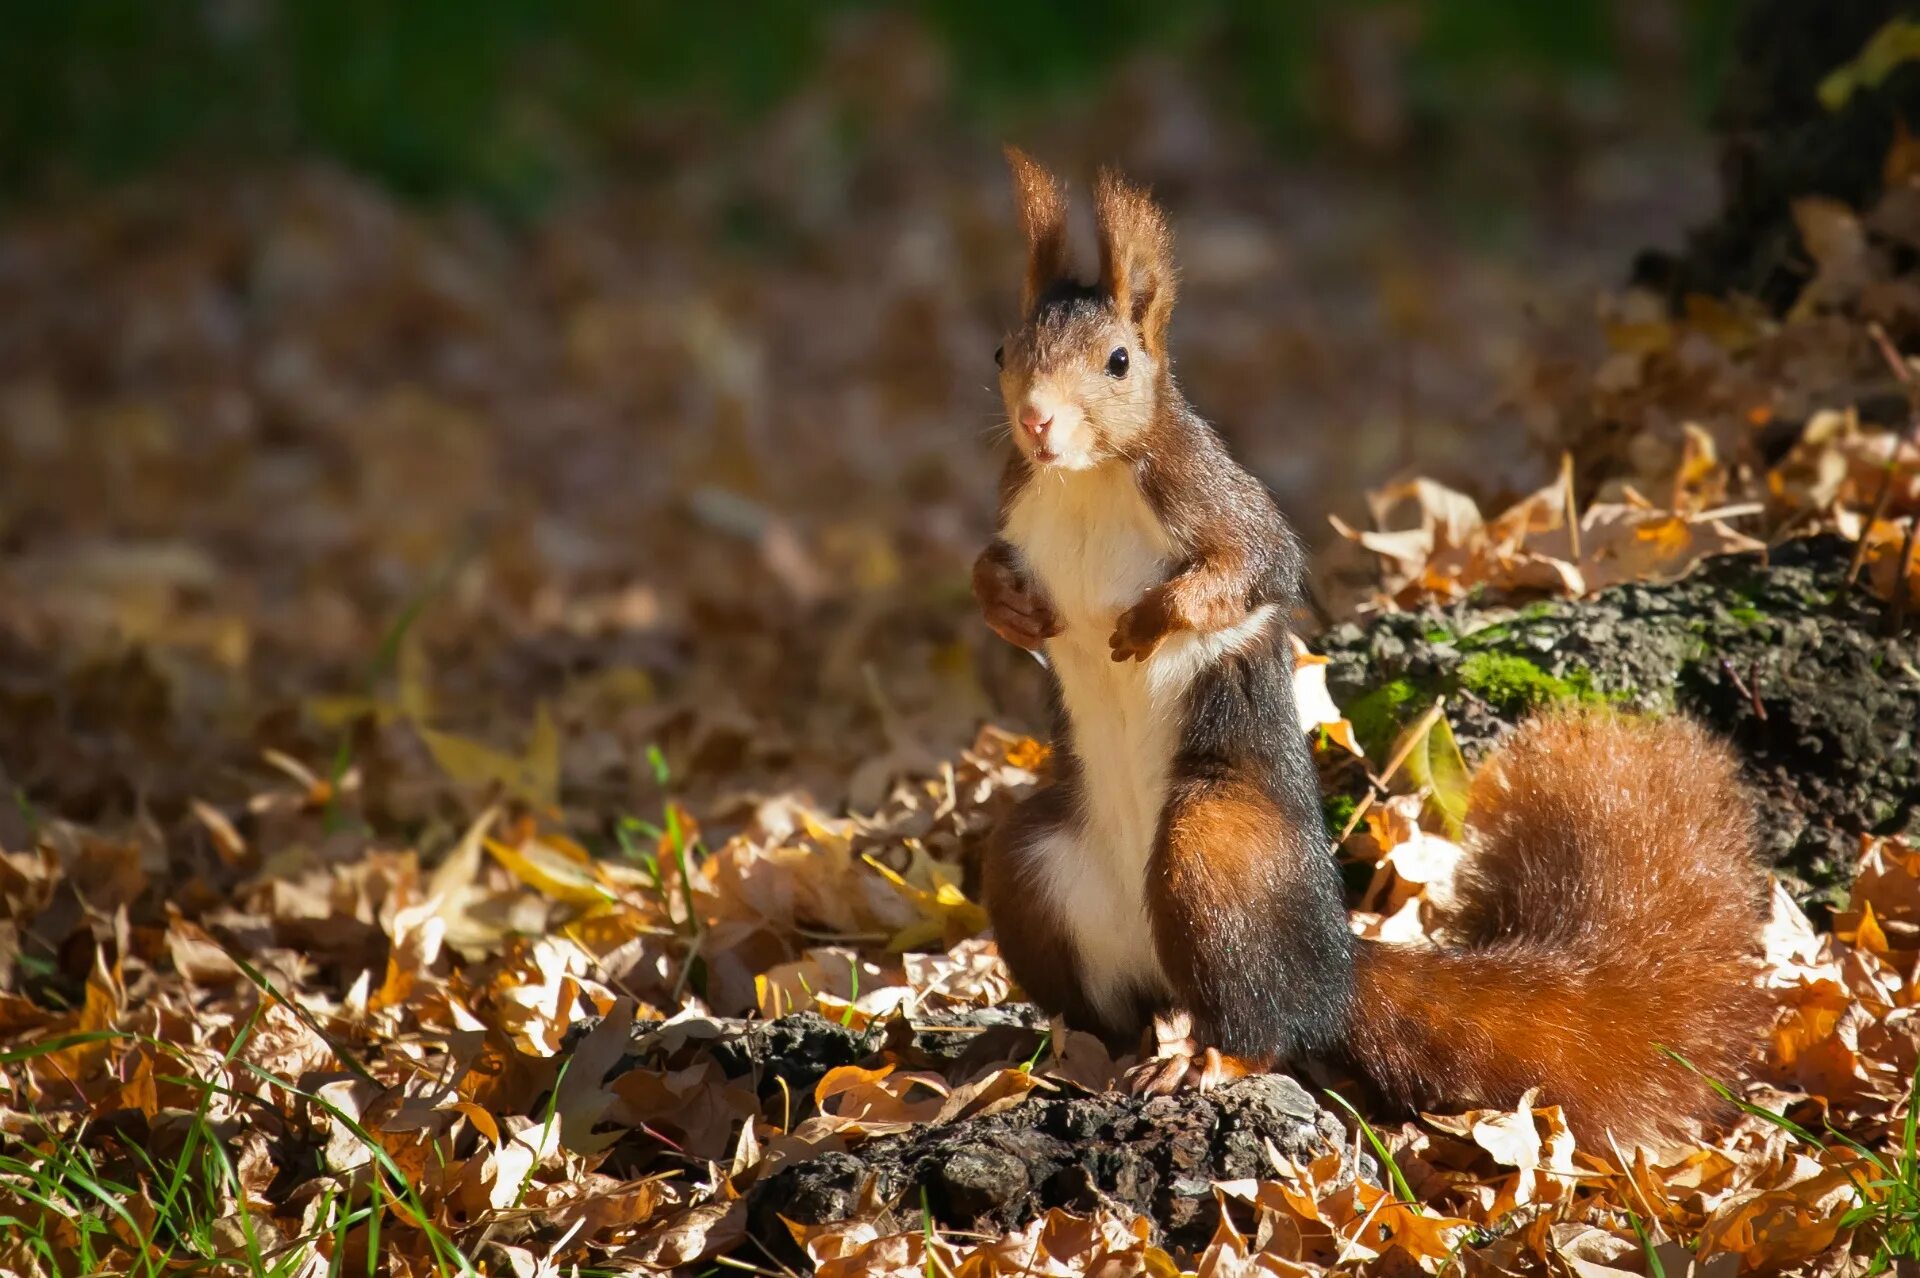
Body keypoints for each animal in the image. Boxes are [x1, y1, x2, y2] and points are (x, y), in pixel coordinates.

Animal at [975, 146, 1766, 1136]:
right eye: (1002, 350)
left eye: (1119, 362)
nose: (1037, 422)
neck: (1081, 481)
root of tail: (1336, 968)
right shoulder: (1019, 505)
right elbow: (985, 567)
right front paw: (1011, 609)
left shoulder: (1213, 498)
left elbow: (1254, 571)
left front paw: (1151, 621)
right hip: (1031, 870)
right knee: (1117, 1009)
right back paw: (1057, 1052)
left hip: (1213, 856)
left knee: (1260, 1021)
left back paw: (1202, 1058)